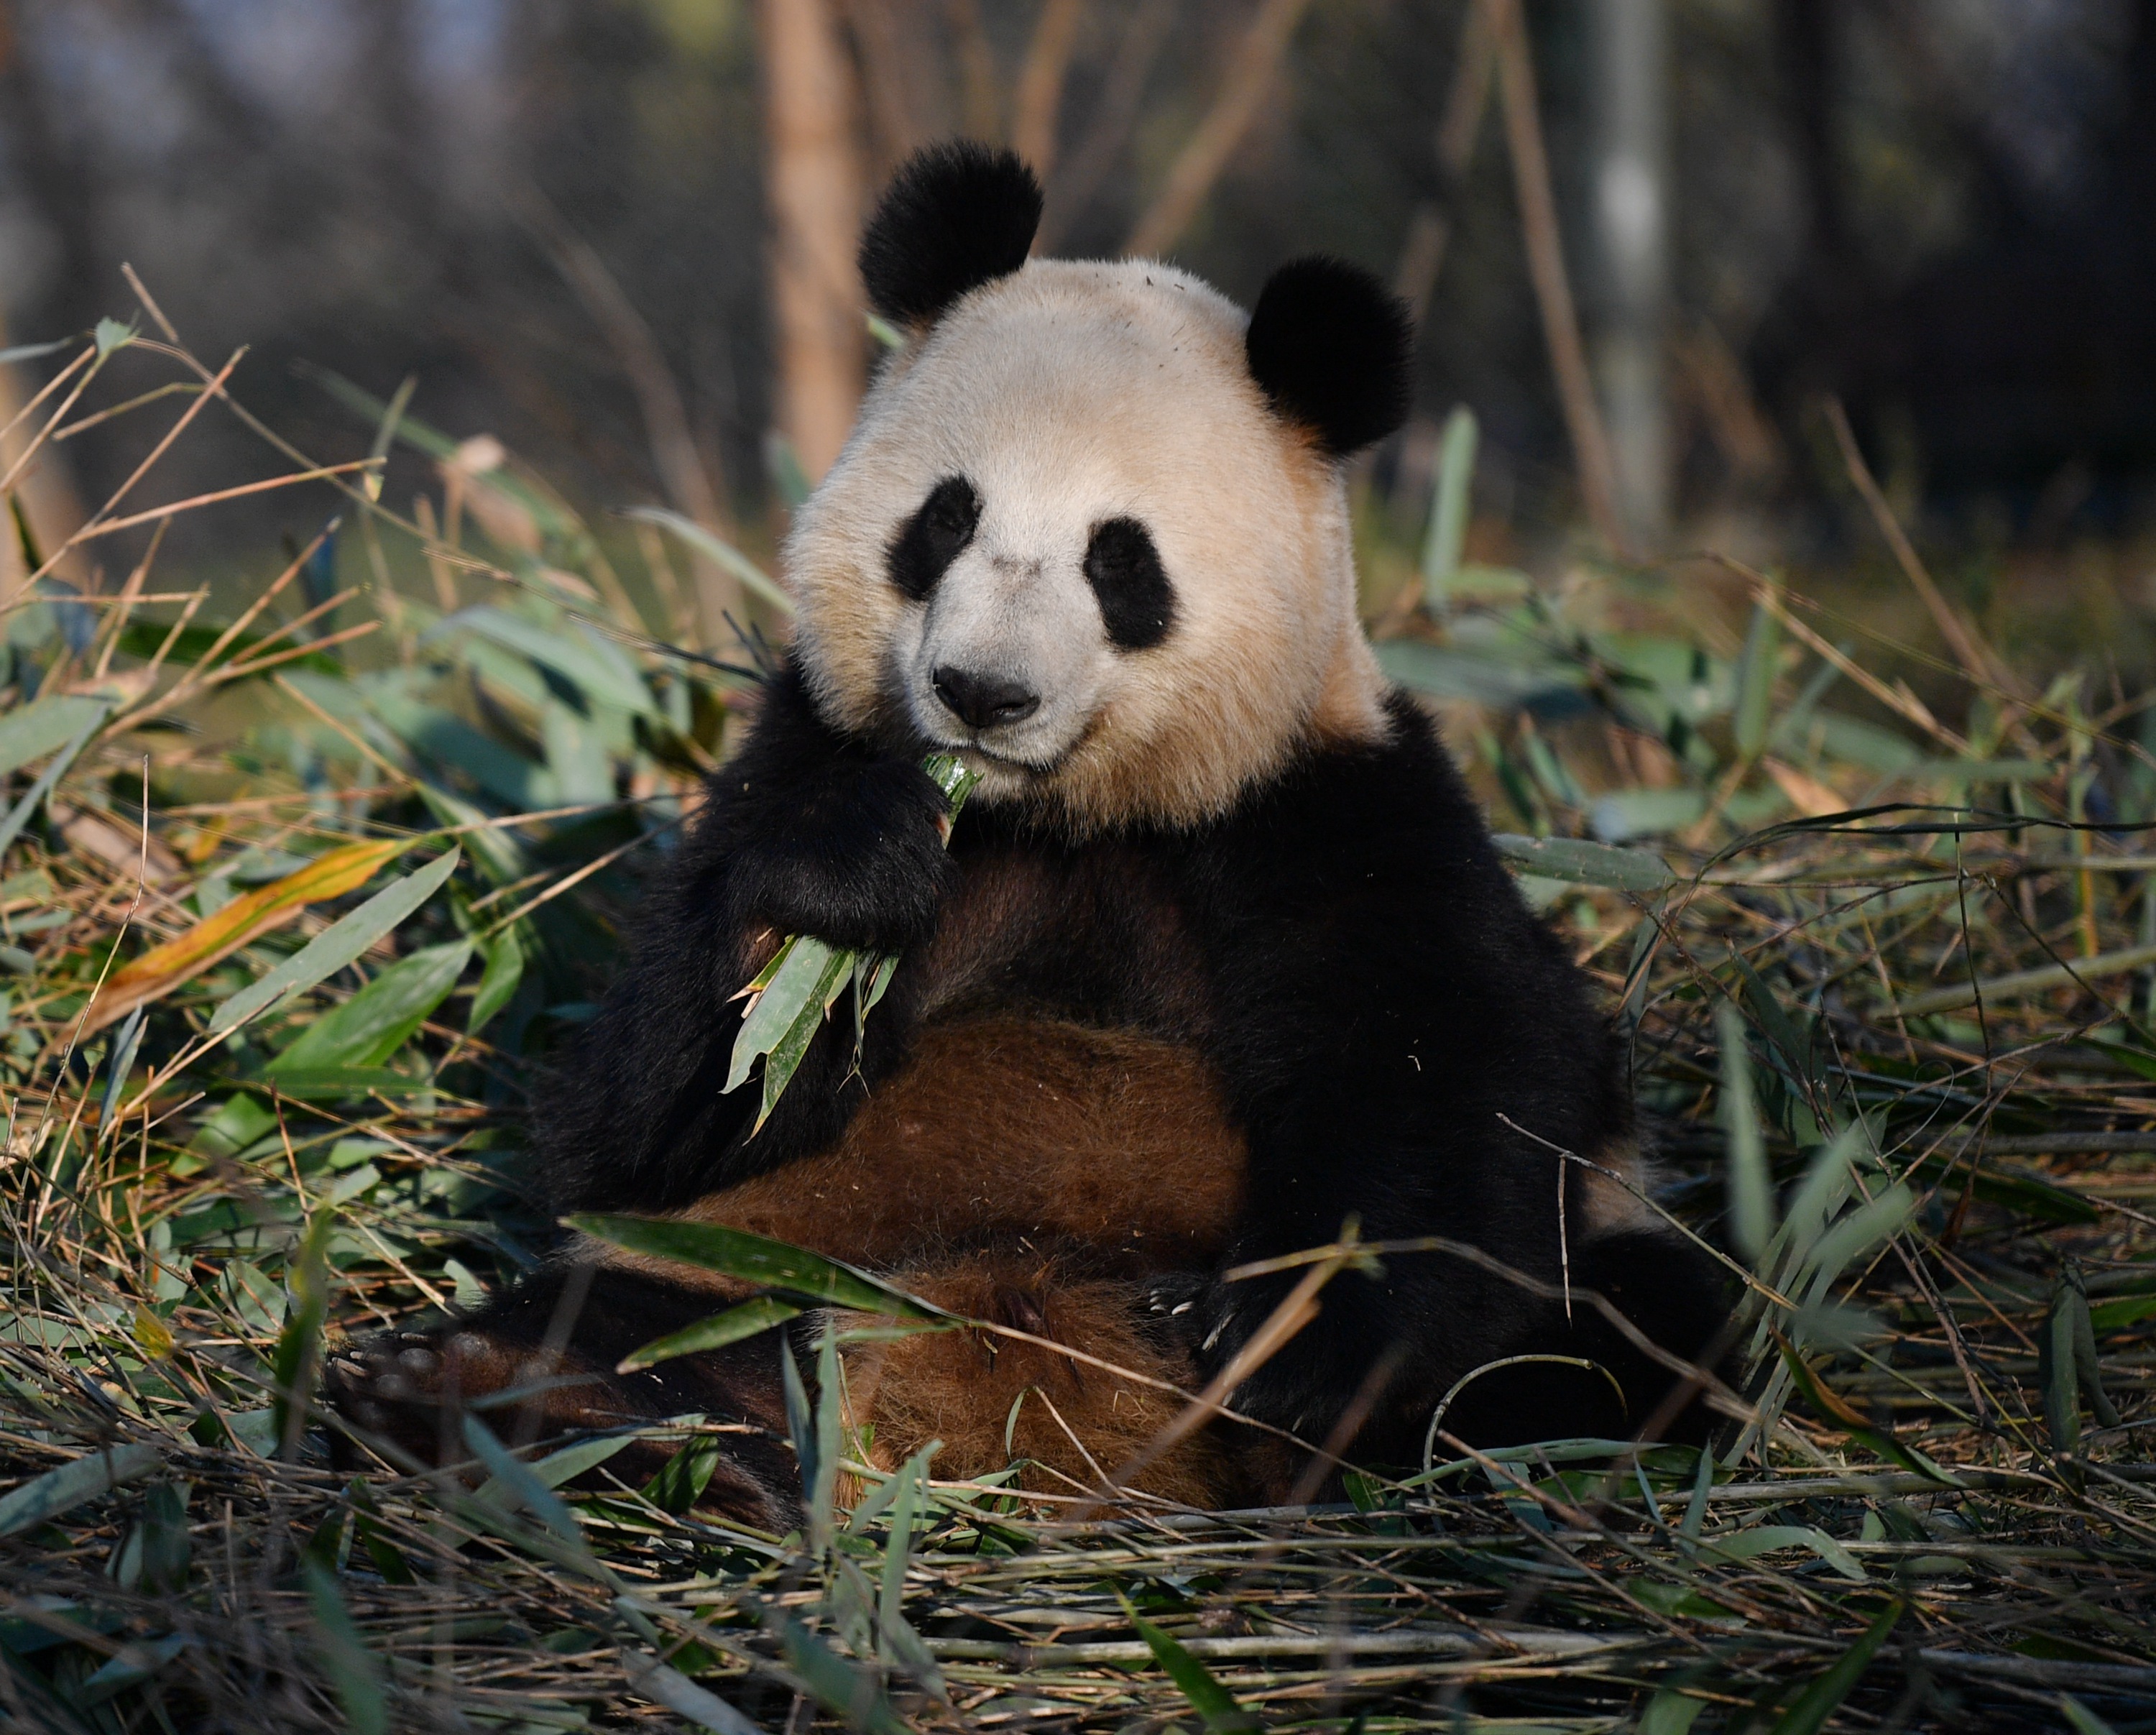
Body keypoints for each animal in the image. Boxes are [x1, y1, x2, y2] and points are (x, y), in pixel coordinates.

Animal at [330, 141, 1730, 1523]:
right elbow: (639, 1116)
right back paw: (529, 1406)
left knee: (1620, 1336)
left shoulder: (1335, 810)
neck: (1059, 812)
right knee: (622, 1306)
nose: (981, 692)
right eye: (946, 518)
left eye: (1121, 560)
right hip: (762, 1261)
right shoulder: (800, 753)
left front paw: (1285, 1342)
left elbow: (1465, 1094)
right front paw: (842, 883)